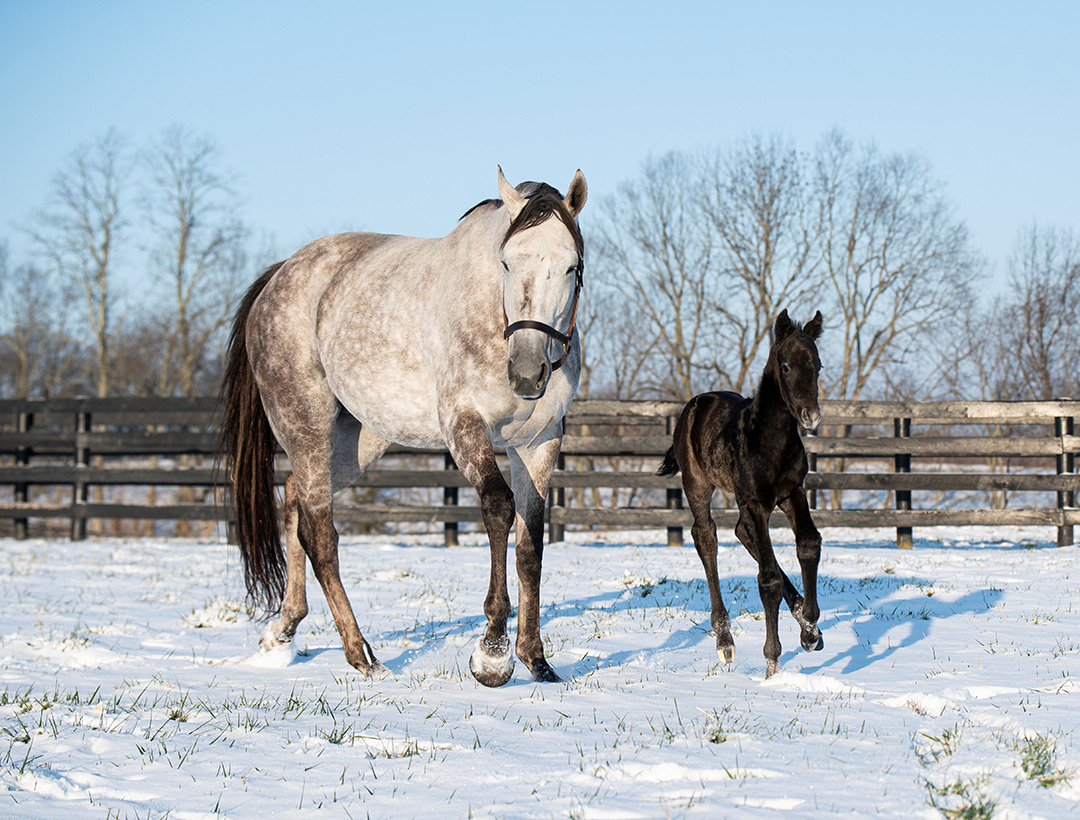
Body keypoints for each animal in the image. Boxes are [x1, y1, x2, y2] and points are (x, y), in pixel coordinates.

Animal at [221, 167, 587, 687]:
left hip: (357, 440)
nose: (526, 372)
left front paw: (536, 658)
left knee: (293, 502)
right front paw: (493, 654)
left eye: (572, 266)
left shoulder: (539, 441)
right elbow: (499, 509)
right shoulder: (463, 426)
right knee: (319, 533)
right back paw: (360, 653)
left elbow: (530, 541)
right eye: (507, 263)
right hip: (305, 423)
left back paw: (283, 631)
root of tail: (281, 276)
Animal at [657, 310, 826, 678]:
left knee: (742, 534)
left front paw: (810, 628)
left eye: (819, 365)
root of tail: (697, 402)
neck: (768, 441)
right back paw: (724, 640)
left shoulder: (792, 491)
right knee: (706, 537)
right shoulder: (754, 502)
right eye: (786, 366)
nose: (810, 416)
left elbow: (808, 544)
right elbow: (767, 580)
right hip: (698, 484)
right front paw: (772, 661)